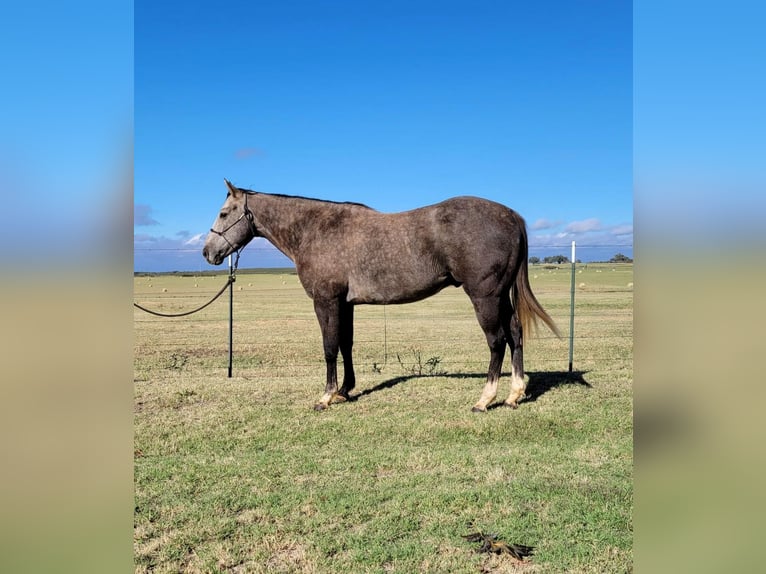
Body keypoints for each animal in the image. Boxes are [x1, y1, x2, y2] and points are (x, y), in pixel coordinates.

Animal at [206, 182, 564, 412]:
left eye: (223, 214)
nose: (208, 252)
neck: (316, 229)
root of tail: (511, 216)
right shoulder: (345, 303)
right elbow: (346, 344)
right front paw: (345, 391)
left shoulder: (325, 300)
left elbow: (329, 347)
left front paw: (325, 397)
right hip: (501, 295)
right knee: (515, 333)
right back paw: (514, 395)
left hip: (485, 296)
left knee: (497, 340)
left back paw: (484, 400)